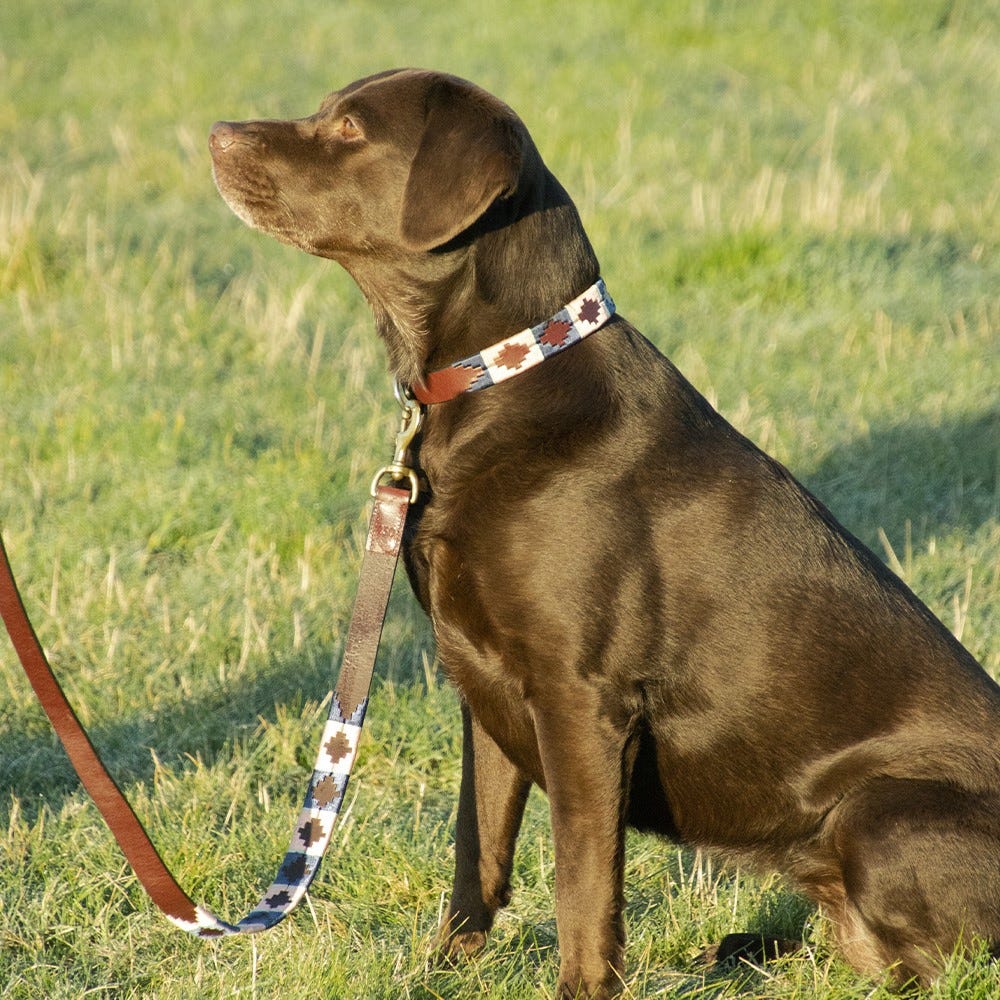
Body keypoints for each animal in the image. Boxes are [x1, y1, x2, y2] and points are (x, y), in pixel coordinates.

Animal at [207, 70, 996, 1000]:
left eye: (352, 130)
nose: (216, 134)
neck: (502, 374)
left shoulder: (581, 699)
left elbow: (583, 882)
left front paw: (581, 987)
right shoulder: (480, 683)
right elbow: (478, 852)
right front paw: (443, 971)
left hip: (879, 809)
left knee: (937, 965)